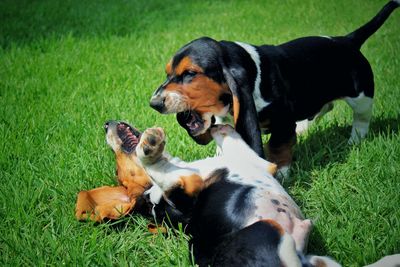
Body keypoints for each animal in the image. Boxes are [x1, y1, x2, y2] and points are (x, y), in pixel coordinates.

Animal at [136, 124, 340, 266]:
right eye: (154, 209)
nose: (144, 197)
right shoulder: (186, 196)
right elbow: (159, 171)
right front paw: (150, 146)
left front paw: (221, 127)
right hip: (267, 227)